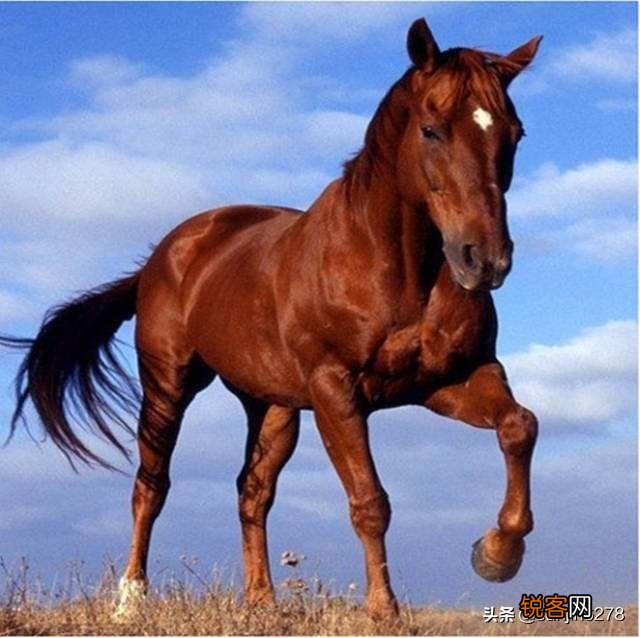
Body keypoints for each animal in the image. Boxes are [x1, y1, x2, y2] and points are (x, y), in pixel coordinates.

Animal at [1, 18, 541, 621]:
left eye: (515, 134)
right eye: (431, 130)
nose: (485, 260)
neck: (395, 269)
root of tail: (162, 256)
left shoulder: (449, 381)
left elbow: (520, 426)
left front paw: (496, 553)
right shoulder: (336, 391)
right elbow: (370, 501)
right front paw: (384, 610)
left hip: (272, 406)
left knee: (252, 490)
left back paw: (260, 600)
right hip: (168, 385)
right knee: (151, 485)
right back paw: (130, 600)